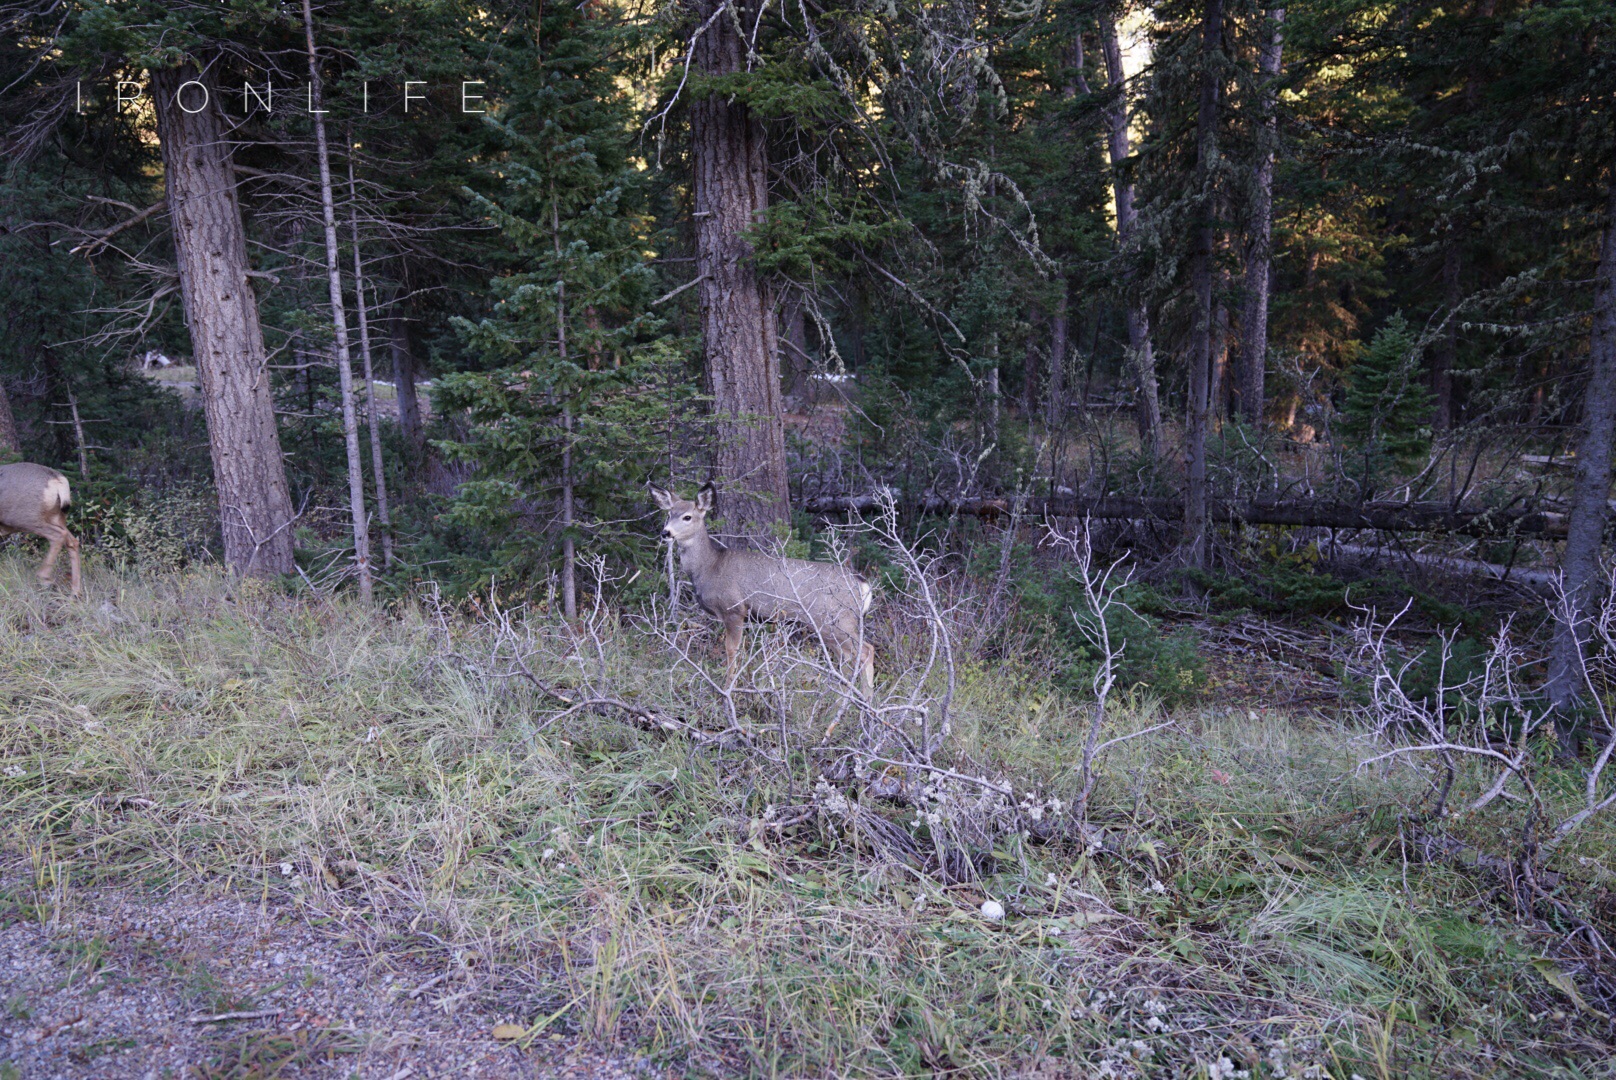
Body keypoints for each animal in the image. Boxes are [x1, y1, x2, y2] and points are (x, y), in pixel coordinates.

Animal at [0, 462, 82, 598]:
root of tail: (56, 479)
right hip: (56, 517)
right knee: (72, 541)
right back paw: (75, 592)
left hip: (25, 518)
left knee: (58, 536)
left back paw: (44, 578)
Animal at [652, 481, 879, 691]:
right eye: (669, 514)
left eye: (687, 517)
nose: (665, 532)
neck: (709, 567)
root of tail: (861, 584)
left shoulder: (734, 609)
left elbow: (732, 650)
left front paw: (728, 688)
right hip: (829, 625)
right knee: (848, 658)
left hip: (837, 619)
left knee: (866, 651)